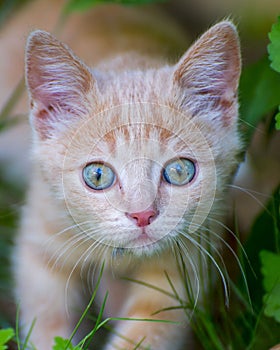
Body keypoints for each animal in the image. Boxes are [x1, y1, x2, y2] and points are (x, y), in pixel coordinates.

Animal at [14, 6, 241, 350]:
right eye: (97, 175)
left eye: (179, 171)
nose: (142, 214)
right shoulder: (42, 239)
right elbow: (46, 321)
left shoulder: (186, 261)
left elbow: (148, 329)